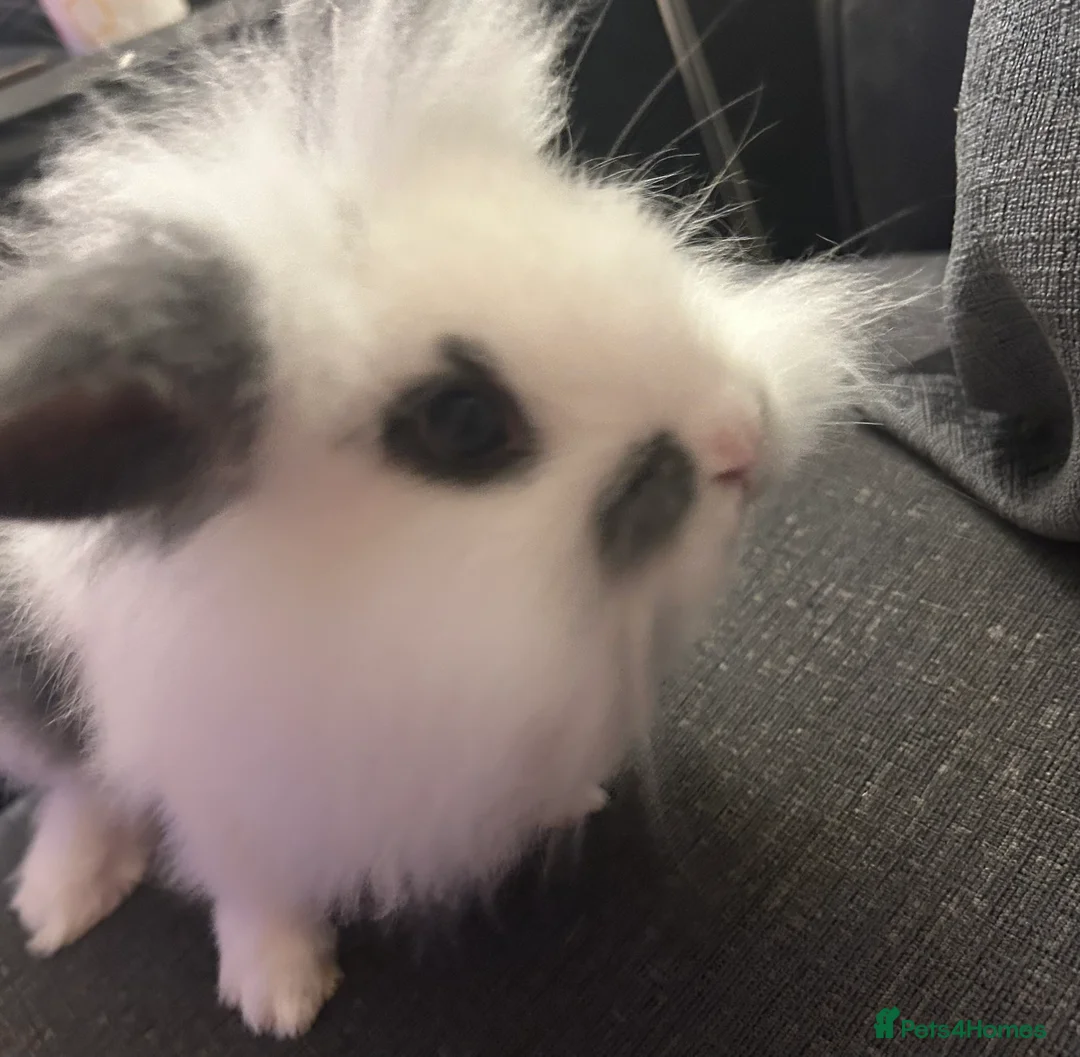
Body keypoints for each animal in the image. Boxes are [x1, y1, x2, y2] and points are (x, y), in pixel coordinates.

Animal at [0, 0, 884, 1039]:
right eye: (463, 423)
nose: (743, 434)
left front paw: (574, 795)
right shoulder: (224, 784)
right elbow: (254, 888)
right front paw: (280, 993)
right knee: (75, 789)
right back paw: (60, 901)